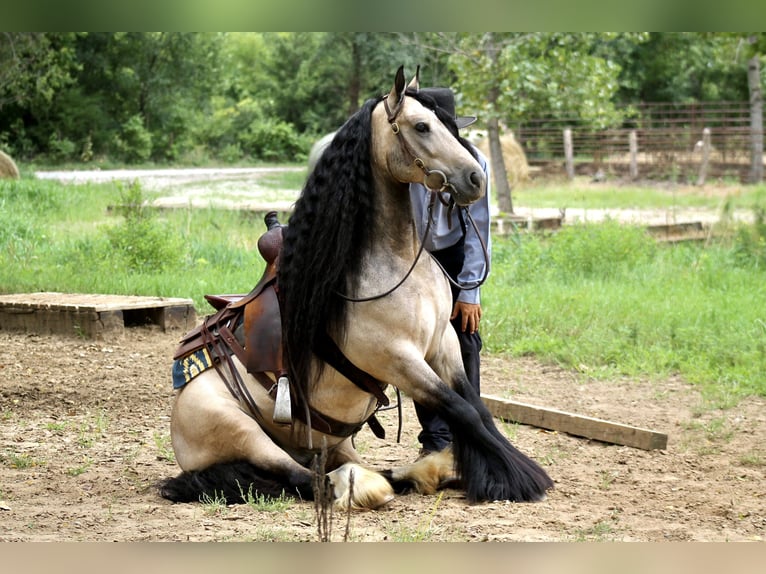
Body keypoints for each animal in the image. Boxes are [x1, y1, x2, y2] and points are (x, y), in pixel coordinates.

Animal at [159, 65, 556, 510]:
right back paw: (361, 485)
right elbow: (463, 411)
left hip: (331, 441)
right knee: (305, 477)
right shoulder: (398, 359)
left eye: (450, 125)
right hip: (244, 432)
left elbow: (476, 408)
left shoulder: (443, 345)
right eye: (421, 126)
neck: (395, 262)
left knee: (350, 467)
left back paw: (425, 471)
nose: (475, 178)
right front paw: (518, 478)